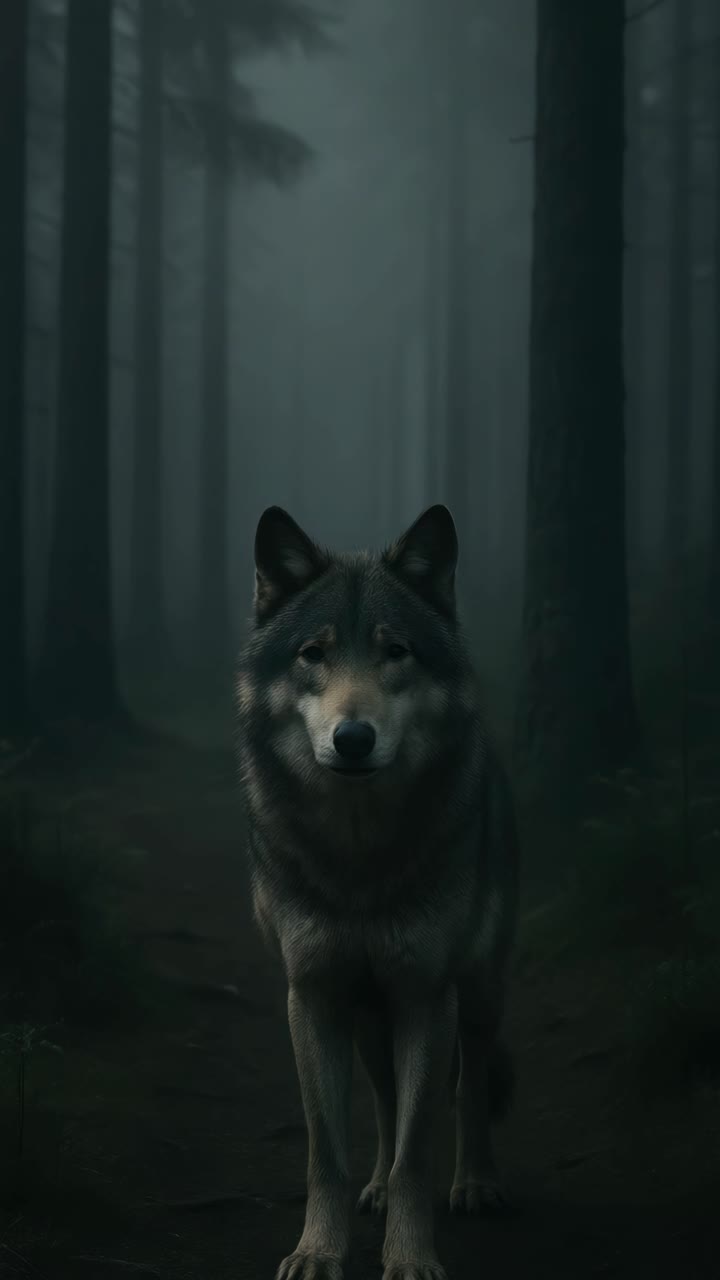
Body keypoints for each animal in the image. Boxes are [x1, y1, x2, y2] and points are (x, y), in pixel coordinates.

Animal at [235, 504, 519, 1280]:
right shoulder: (315, 994)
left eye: (396, 652)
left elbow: (419, 1150)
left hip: (477, 988)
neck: (357, 858)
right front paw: (318, 1250)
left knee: (472, 1083)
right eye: (313, 654)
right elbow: (327, 1149)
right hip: (367, 1014)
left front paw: (411, 1257)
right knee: (387, 1098)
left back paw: (477, 1182)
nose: (353, 737)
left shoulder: (426, 992)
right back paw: (376, 1188)